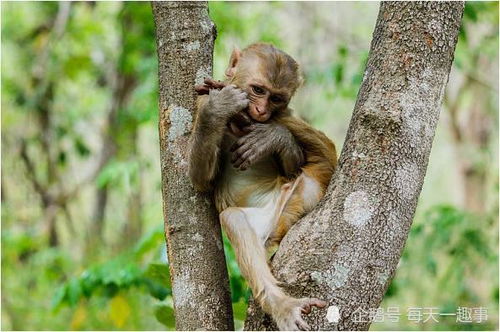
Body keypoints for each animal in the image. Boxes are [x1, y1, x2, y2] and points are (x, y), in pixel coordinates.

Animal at [189, 42, 338, 330]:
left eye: (276, 98)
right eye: (258, 90)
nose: (260, 112)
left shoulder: (284, 113)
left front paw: (275, 138)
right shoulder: (201, 104)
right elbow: (201, 180)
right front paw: (219, 108)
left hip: (301, 194)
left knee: (321, 161)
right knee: (234, 218)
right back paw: (281, 305)